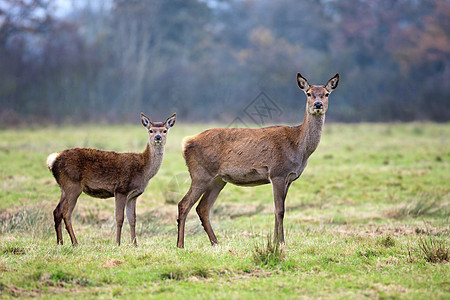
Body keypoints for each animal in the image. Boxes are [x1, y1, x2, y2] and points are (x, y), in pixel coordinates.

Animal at [47, 112, 176, 246]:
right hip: (72, 185)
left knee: (57, 211)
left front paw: (135, 245)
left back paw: (60, 243)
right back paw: (75, 243)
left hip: (64, 188)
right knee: (66, 213)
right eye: (150, 130)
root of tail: (52, 160)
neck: (143, 169)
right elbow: (119, 218)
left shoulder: (134, 195)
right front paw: (118, 243)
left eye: (165, 130)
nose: (158, 137)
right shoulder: (121, 190)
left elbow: (132, 219)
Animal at [176, 73, 338, 248]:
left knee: (202, 208)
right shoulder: (277, 173)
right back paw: (180, 245)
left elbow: (277, 210)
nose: (318, 104)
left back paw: (216, 242)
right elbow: (280, 210)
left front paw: (275, 242)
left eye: (326, 94)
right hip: (200, 174)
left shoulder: (289, 178)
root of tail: (186, 143)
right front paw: (281, 242)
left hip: (218, 180)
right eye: (308, 93)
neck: (299, 147)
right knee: (184, 204)